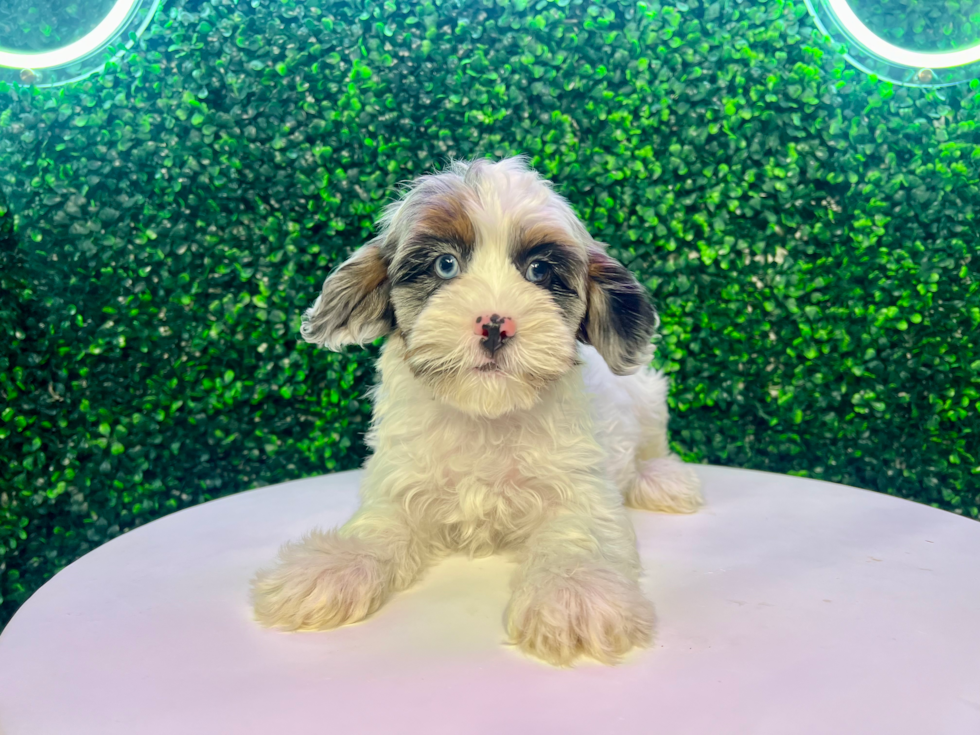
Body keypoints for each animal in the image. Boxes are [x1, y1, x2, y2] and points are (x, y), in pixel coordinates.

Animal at [249, 155, 700, 668]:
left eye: (539, 271)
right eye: (446, 264)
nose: (495, 325)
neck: (484, 416)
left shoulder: (580, 483)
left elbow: (580, 531)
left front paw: (575, 594)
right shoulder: (401, 482)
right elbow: (379, 526)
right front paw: (330, 565)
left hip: (648, 395)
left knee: (652, 445)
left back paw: (662, 479)